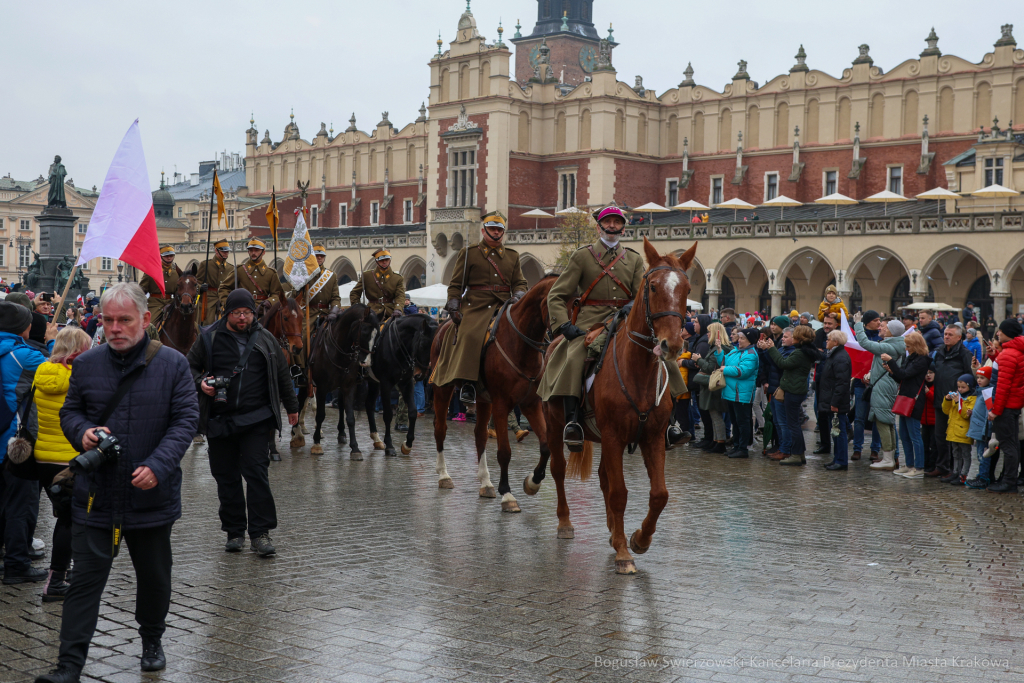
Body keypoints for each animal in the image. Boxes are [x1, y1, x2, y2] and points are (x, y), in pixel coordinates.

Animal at [307, 305, 380, 458]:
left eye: (377, 335)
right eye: (364, 332)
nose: (367, 363)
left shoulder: (349, 386)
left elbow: (350, 418)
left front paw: (355, 448)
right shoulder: (321, 388)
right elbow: (320, 415)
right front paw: (316, 443)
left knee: (341, 404)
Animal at [364, 317, 436, 458]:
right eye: (422, 345)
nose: (420, 374)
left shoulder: (407, 383)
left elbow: (412, 412)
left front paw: (408, 444)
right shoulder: (386, 384)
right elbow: (387, 415)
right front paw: (390, 446)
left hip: (373, 382)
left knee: (369, 404)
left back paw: (376, 439)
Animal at [430, 276, 565, 511]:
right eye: (558, 301)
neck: (520, 345)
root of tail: (442, 326)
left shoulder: (531, 403)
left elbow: (546, 446)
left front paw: (533, 482)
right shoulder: (502, 405)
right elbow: (504, 452)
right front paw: (507, 494)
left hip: (484, 399)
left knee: (480, 436)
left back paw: (486, 482)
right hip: (442, 388)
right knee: (440, 429)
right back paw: (444, 476)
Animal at [544, 237, 696, 573]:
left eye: (688, 288)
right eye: (652, 286)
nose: (672, 345)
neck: (637, 371)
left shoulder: (652, 437)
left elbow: (659, 494)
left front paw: (638, 539)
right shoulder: (614, 436)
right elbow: (619, 493)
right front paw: (625, 553)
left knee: (603, 478)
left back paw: (616, 534)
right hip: (555, 423)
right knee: (559, 470)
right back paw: (566, 523)